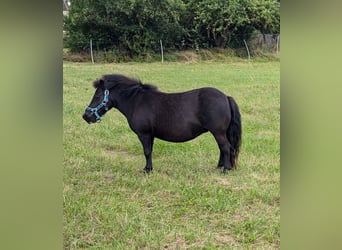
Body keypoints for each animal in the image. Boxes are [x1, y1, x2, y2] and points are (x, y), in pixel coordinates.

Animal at [83, 74, 242, 174]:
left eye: (97, 96)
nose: (86, 116)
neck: (137, 101)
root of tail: (225, 97)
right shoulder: (150, 135)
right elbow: (149, 151)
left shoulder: (144, 134)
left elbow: (147, 151)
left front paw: (147, 170)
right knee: (223, 148)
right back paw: (220, 167)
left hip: (218, 132)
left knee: (226, 148)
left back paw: (225, 169)